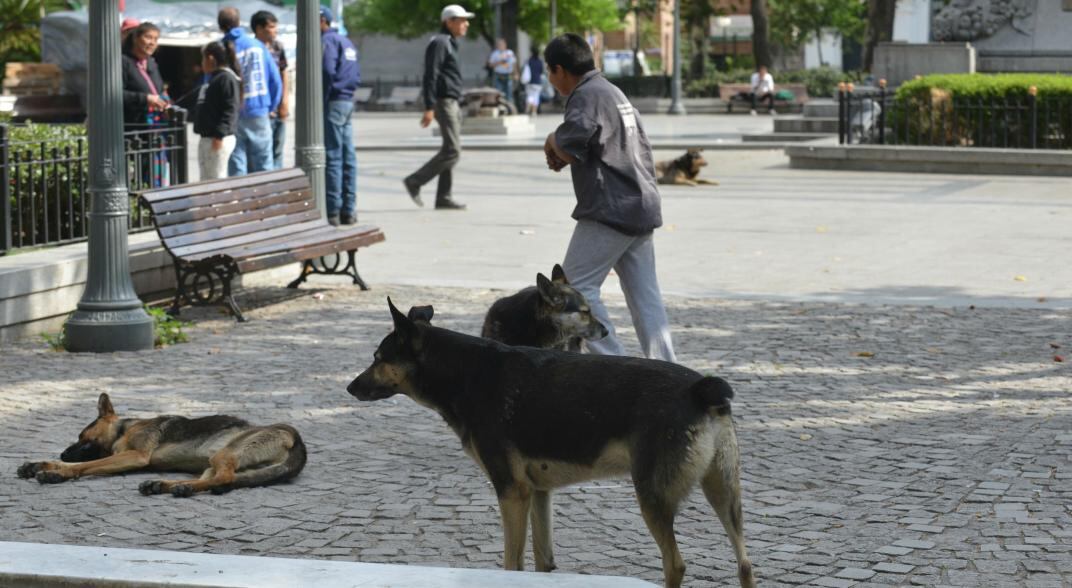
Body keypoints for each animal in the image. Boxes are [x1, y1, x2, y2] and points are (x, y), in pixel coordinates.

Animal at [347, 297, 750, 586]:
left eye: (378, 357)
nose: (350, 387)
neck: (463, 371)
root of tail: (701, 389)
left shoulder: (512, 493)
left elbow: (512, 565)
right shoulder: (539, 493)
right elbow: (544, 562)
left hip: (653, 496)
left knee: (675, 565)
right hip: (724, 494)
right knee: (744, 564)